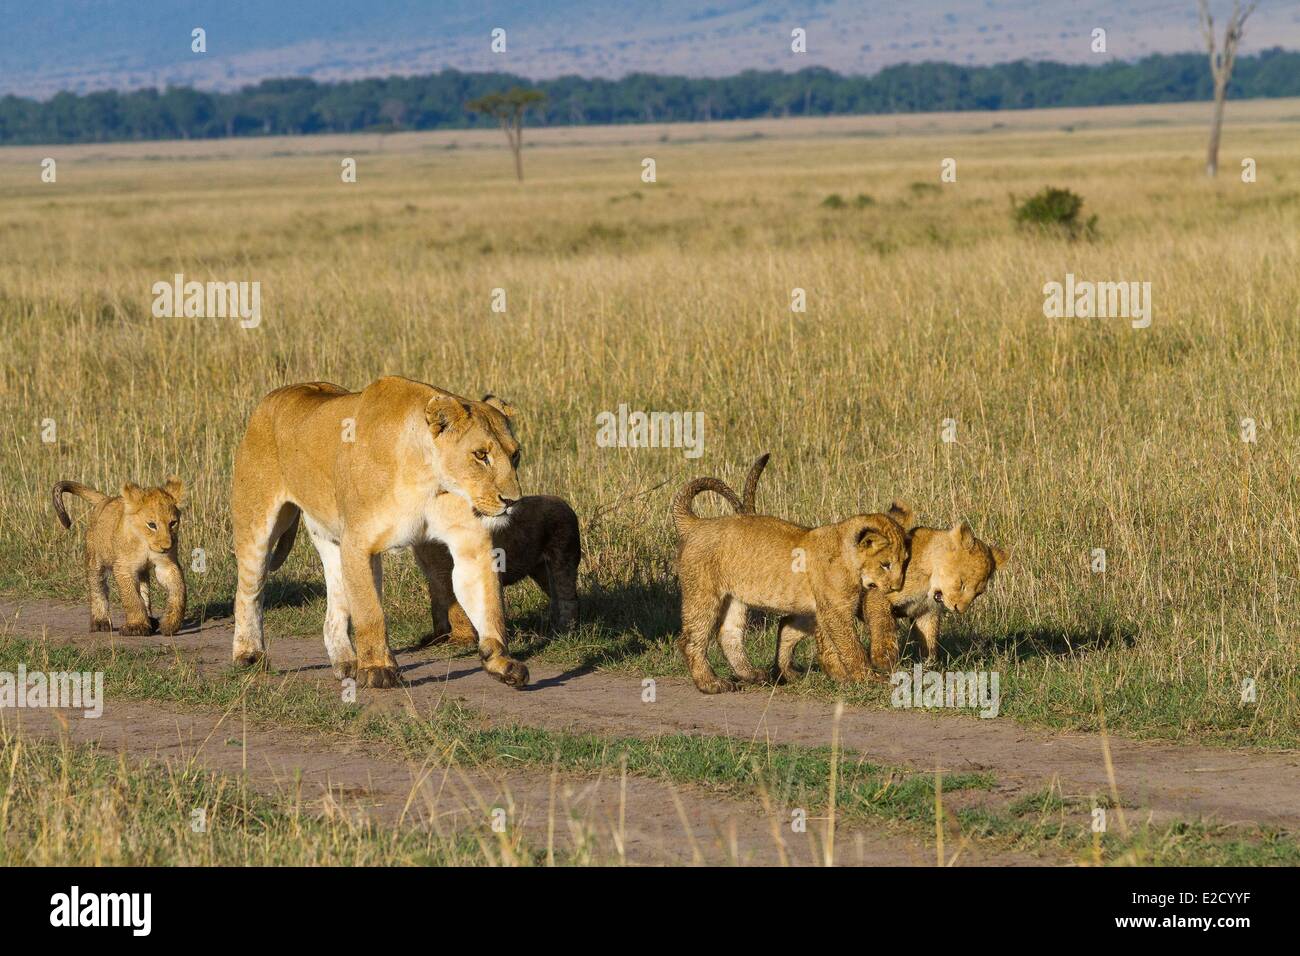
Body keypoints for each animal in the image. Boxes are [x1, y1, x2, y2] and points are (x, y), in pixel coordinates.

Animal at [52, 477, 187, 636]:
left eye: (172, 523)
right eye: (152, 525)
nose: (166, 547)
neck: (145, 543)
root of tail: (106, 499)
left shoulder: (166, 564)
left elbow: (178, 591)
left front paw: (171, 624)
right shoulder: (123, 567)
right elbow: (131, 598)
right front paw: (137, 626)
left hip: (141, 570)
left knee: (144, 589)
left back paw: (151, 620)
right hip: (95, 560)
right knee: (98, 588)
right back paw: (100, 622)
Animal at [230, 376, 528, 689]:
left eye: (515, 454)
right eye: (481, 455)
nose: (512, 501)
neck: (429, 480)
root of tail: (274, 396)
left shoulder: (471, 544)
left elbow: (489, 605)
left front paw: (500, 661)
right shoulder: (358, 543)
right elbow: (370, 612)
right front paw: (377, 669)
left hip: (330, 538)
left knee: (335, 608)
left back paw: (347, 662)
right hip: (256, 525)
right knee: (248, 592)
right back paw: (249, 655)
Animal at [414, 494, 581, 646]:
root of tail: (564, 503)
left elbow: (457, 608)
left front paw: (462, 640)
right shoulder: (434, 575)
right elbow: (437, 606)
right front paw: (437, 637)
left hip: (563, 560)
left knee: (568, 598)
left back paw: (566, 631)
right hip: (541, 571)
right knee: (556, 596)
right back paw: (553, 629)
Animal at [672, 461, 907, 694]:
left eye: (905, 561)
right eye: (885, 564)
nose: (897, 587)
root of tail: (696, 524)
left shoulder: (825, 610)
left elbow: (830, 645)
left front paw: (842, 678)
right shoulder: (835, 611)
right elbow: (850, 647)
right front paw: (868, 678)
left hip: (734, 598)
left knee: (729, 634)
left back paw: (755, 675)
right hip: (703, 593)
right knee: (690, 640)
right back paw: (711, 684)